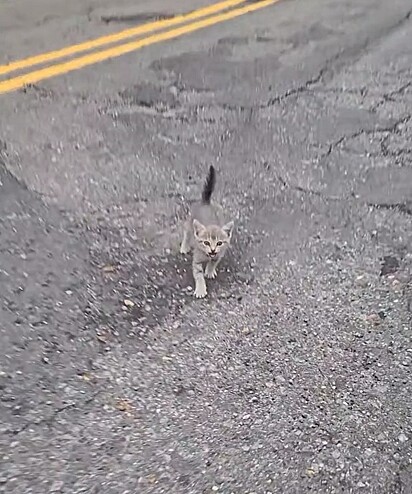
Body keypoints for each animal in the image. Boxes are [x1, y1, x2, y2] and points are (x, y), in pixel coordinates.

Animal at [181, 165, 235, 298]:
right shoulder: (197, 260)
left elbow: (214, 262)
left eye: (219, 243)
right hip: (189, 222)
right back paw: (184, 247)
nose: (213, 250)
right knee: (187, 233)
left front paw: (210, 271)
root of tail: (206, 201)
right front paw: (201, 289)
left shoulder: (220, 254)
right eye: (206, 242)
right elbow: (198, 275)